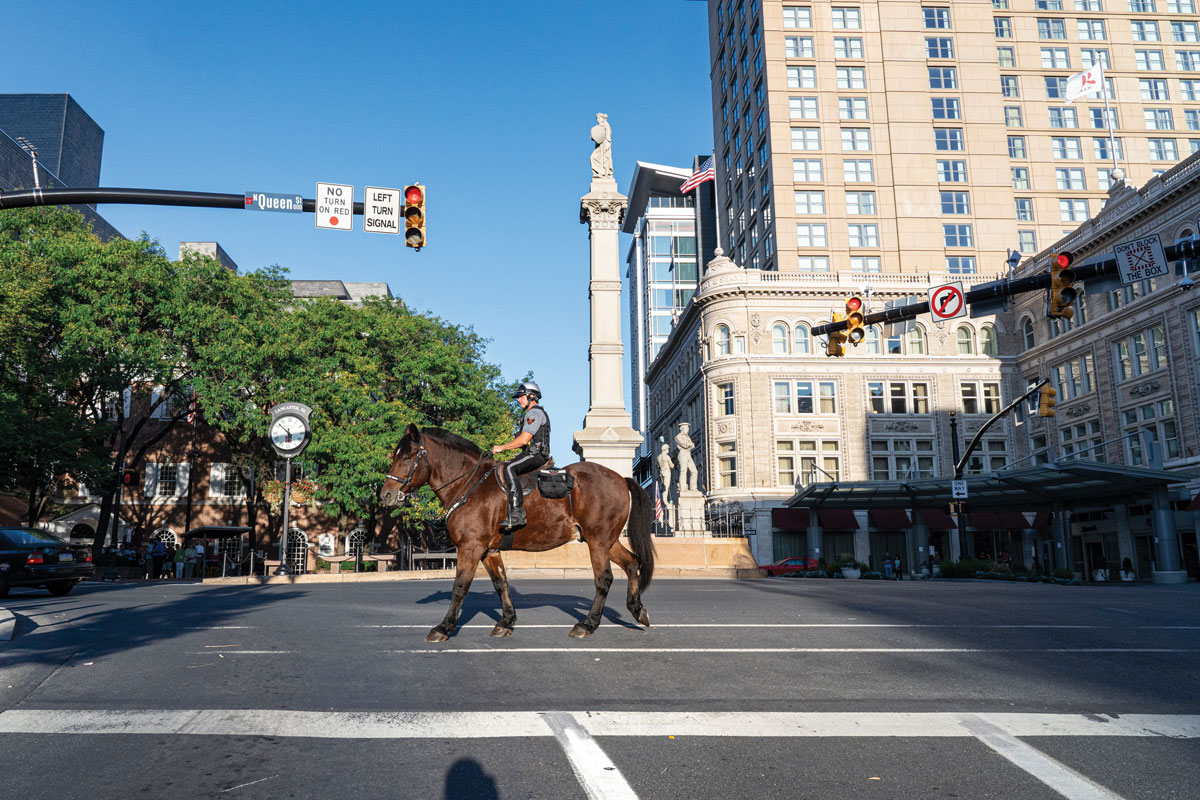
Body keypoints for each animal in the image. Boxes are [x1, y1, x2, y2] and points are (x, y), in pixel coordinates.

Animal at [379, 424, 657, 642]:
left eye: (407, 458)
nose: (386, 495)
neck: (470, 484)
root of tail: (620, 477)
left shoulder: (470, 547)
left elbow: (460, 586)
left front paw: (444, 627)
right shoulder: (489, 551)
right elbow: (501, 583)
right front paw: (506, 621)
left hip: (597, 542)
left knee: (604, 579)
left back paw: (587, 624)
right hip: (606, 540)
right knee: (632, 563)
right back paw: (637, 609)